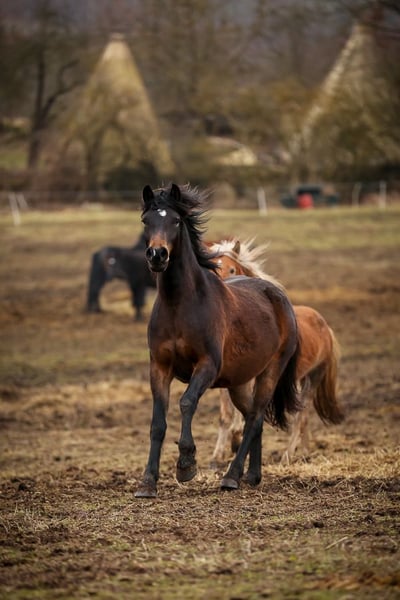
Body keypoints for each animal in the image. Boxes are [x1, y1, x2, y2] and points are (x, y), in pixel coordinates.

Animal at [135, 183, 301, 497]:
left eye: (176, 221)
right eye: (146, 221)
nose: (157, 255)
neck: (180, 305)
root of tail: (279, 296)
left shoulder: (207, 366)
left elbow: (187, 403)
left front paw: (186, 464)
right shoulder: (159, 368)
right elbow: (157, 423)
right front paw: (147, 482)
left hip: (270, 373)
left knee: (255, 417)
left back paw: (231, 476)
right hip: (238, 382)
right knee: (252, 418)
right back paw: (252, 475)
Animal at [209, 238, 344, 466]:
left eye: (232, 268)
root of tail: (325, 326)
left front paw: (237, 443)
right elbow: (225, 416)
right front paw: (217, 455)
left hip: (313, 378)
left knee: (301, 416)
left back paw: (287, 456)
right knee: (303, 419)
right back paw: (304, 452)